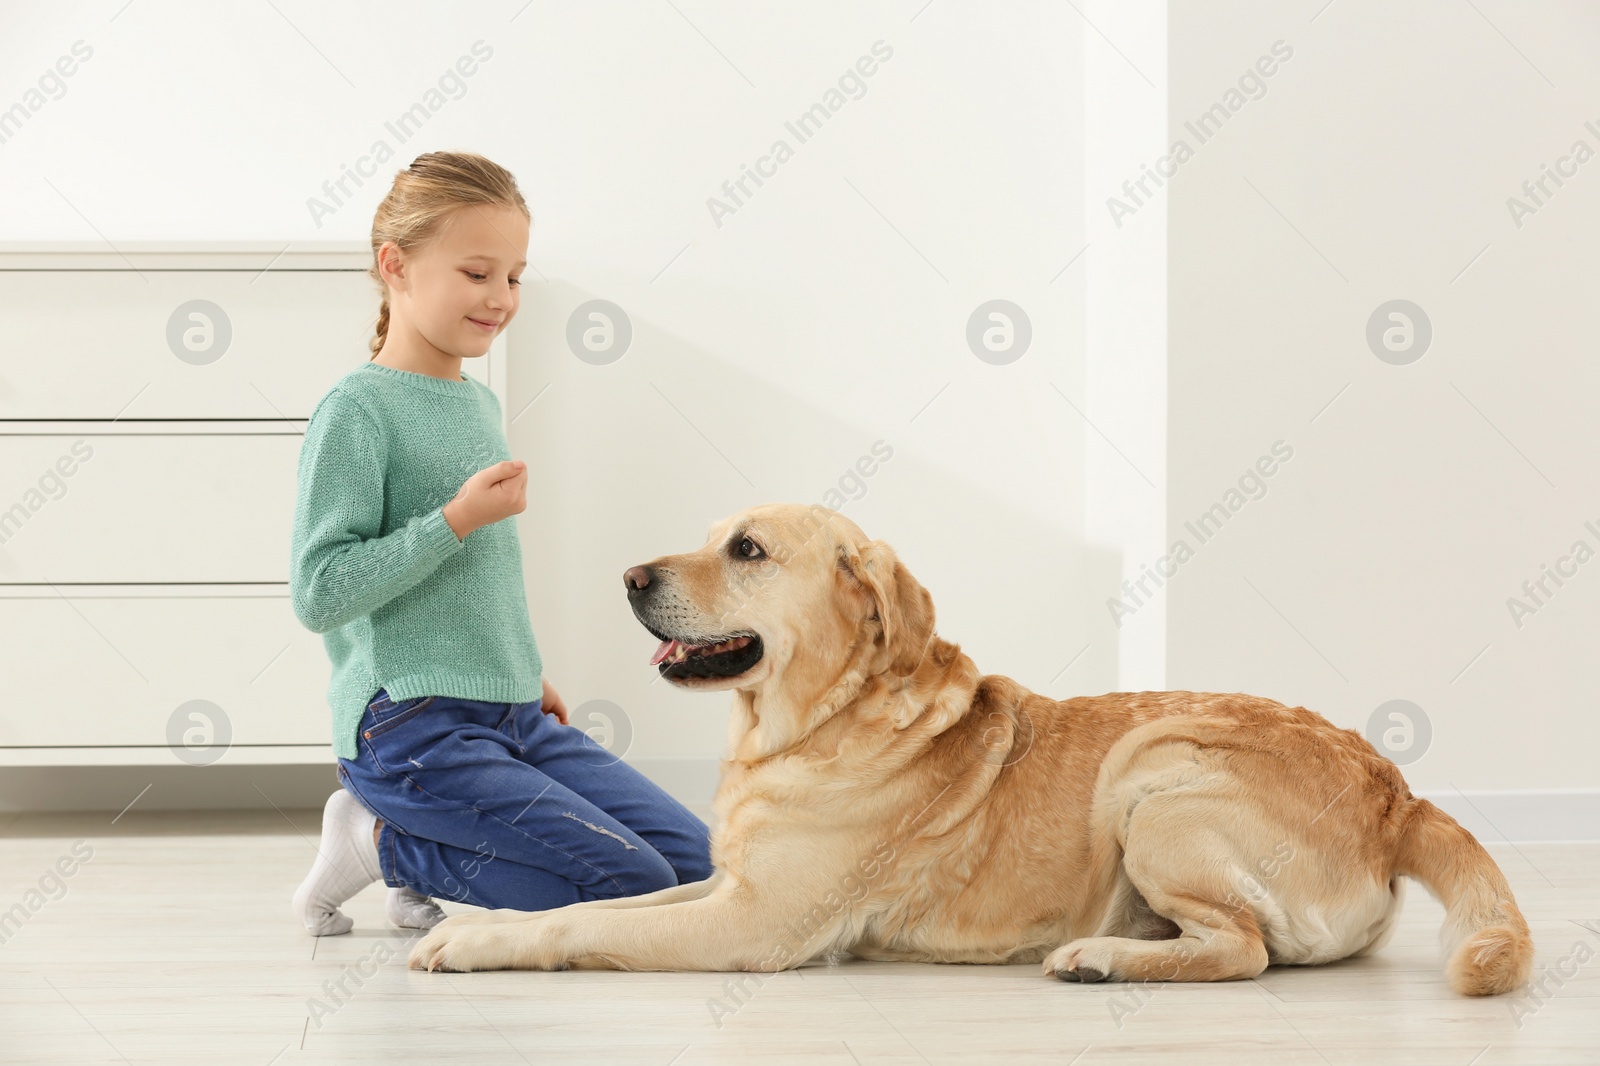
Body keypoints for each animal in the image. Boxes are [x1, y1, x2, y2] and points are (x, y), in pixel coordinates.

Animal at [406, 502, 1529, 992]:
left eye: (748, 549)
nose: (630, 576)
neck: (815, 723)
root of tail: (1396, 792)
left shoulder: (754, 925)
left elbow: (575, 928)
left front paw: (475, 942)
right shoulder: (725, 885)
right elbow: (596, 906)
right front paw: (481, 920)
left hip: (1156, 773)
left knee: (1242, 951)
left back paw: (1103, 958)